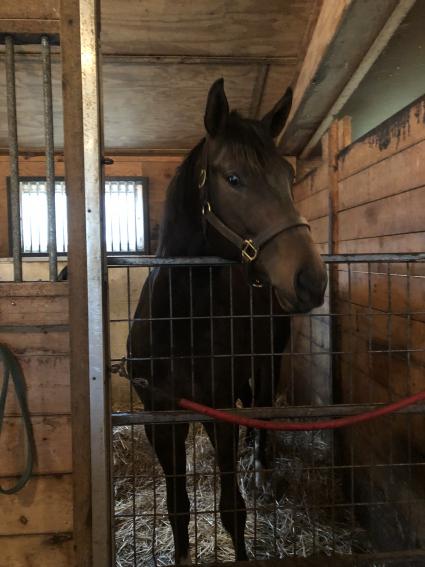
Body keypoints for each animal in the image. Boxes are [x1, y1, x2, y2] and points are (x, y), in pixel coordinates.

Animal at [127, 79, 326, 564]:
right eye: (233, 178)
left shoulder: (217, 413)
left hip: (268, 359)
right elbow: (178, 507)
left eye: (289, 177)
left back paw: (261, 470)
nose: (311, 279)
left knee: (262, 410)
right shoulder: (161, 419)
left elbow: (232, 508)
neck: (179, 322)